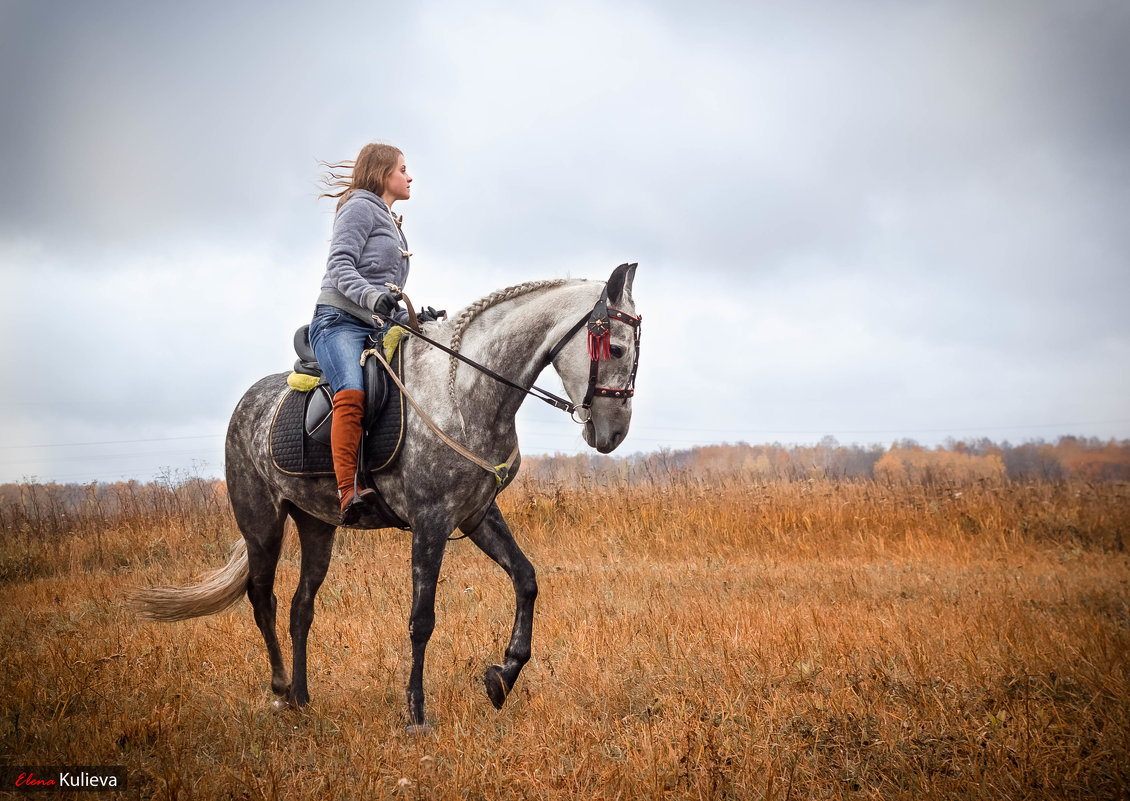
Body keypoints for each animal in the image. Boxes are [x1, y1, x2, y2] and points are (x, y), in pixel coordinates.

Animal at [132, 264, 641, 732]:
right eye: (615, 348)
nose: (613, 434)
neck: (462, 392)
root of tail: (249, 402)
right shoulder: (431, 523)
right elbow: (422, 620)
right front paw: (416, 713)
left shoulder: (476, 515)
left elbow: (526, 579)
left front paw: (502, 676)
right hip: (262, 523)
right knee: (263, 599)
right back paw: (279, 690)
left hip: (316, 525)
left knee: (300, 607)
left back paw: (302, 697)